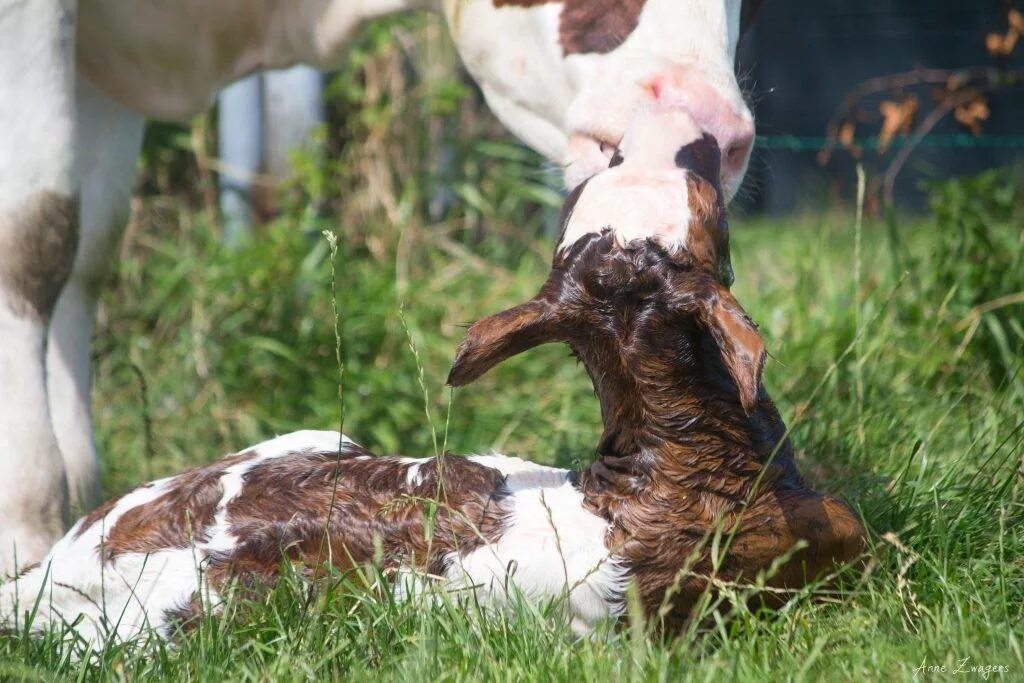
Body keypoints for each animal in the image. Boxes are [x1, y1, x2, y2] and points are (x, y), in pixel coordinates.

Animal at [0, 109, 864, 651]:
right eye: (704, 206)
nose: (685, 138)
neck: (664, 468)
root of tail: (47, 578)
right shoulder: (806, 548)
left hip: (314, 437)